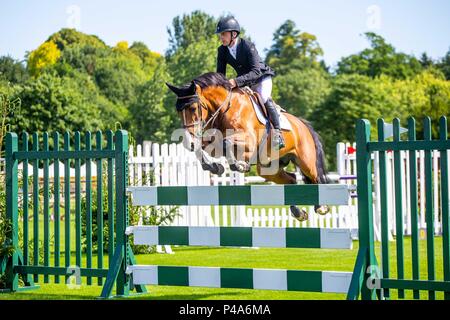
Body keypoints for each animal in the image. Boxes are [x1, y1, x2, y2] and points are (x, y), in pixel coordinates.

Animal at [167, 72, 328, 220]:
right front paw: (214, 167)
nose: (189, 140)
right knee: (292, 180)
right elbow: (203, 148)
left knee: (315, 178)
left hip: (306, 162)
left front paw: (240, 165)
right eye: (177, 111)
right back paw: (298, 212)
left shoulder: (248, 142)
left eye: (193, 108)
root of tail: (303, 124)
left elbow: (226, 143)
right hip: (268, 168)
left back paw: (321, 207)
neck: (226, 108)